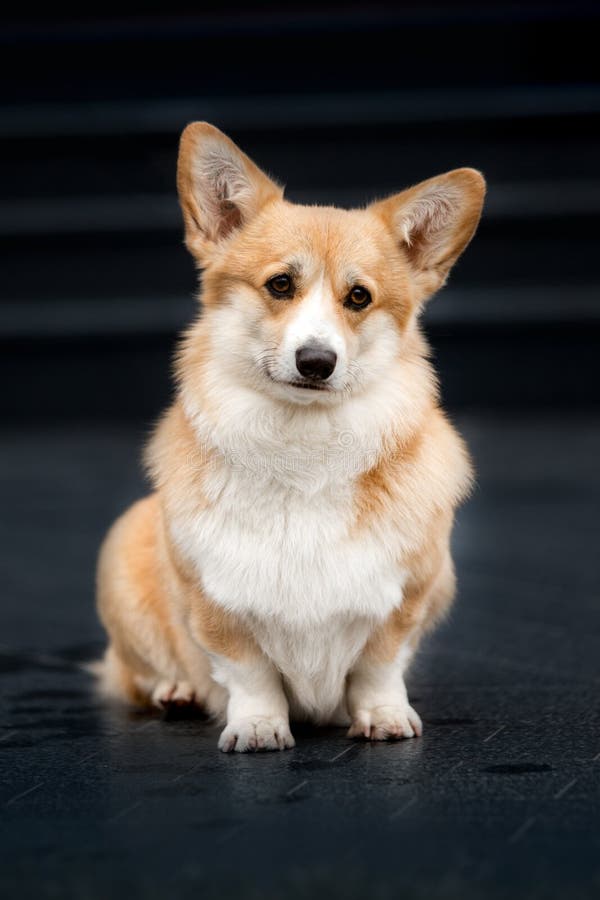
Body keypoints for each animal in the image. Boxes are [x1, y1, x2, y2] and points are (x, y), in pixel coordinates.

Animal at [96, 121, 486, 752]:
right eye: (280, 285)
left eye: (359, 297)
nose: (317, 362)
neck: (306, 448)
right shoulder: (216, 604)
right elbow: (248, 671)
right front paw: (258, 726)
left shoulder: (410, 595)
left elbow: (380, 664)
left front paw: (383, 716)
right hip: (124, 551)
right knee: (134, 674)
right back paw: (175, 691)